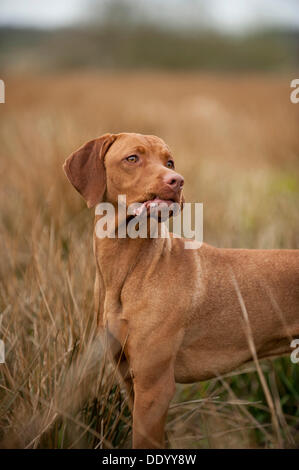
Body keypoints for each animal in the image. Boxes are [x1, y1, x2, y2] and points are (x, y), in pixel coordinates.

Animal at [63, 131, 299, 448]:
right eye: (132, 158)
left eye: (169, 162)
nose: (177, 180)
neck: (128, 268)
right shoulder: (129, 379)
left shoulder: (154, 387)